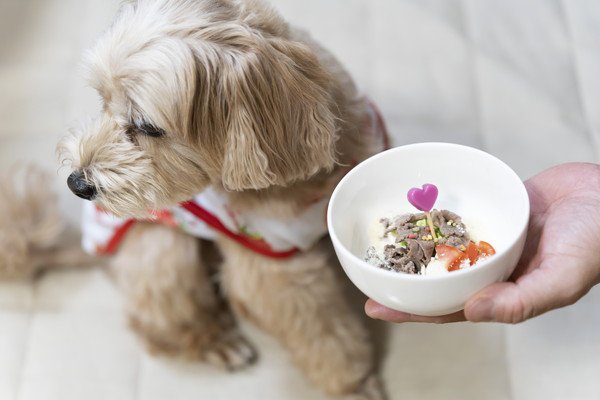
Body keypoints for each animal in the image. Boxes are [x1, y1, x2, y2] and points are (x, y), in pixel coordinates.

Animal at [51, 0, 386, 396]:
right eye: (102, 101)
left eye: (146, 126)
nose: (77, 184)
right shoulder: (277, 271)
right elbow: (326, 336)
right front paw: (354, 385)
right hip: (162, 252)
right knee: (153, 323)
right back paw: (218, 342)